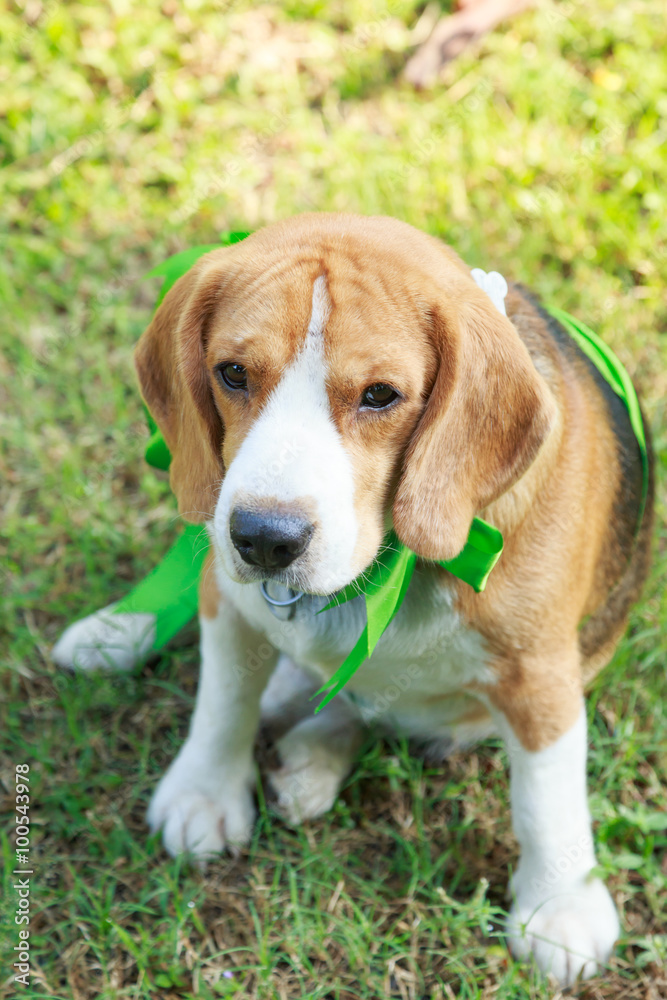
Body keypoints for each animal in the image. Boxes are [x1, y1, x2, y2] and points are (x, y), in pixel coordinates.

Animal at [82, 215, 656, 988]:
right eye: (232, 373)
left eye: (380, 395)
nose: (263, 539)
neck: (379, 570)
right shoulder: (227, 601)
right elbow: (222, 701)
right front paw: (203, 789)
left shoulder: (540, 673)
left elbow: (547, 793)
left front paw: (559, 905)